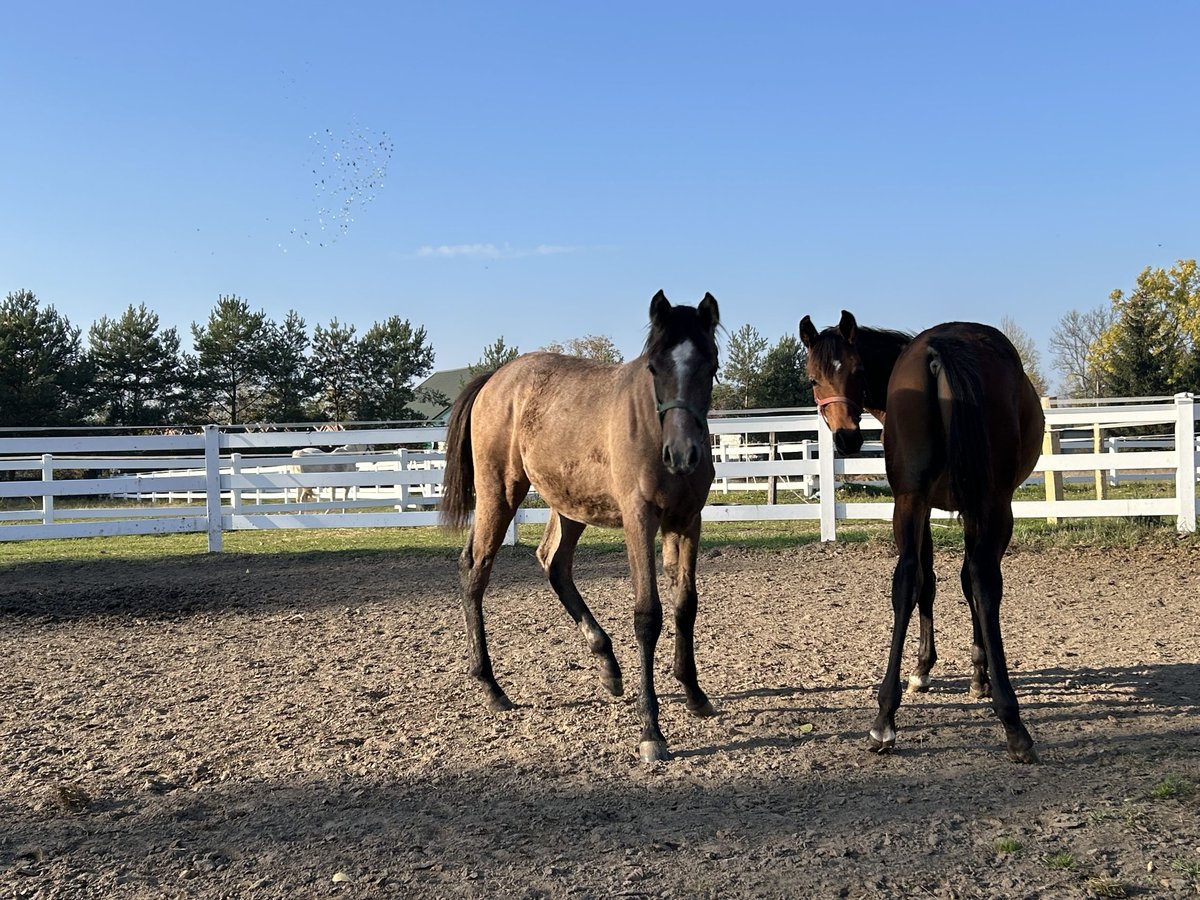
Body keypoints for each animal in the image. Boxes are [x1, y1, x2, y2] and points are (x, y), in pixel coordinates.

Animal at [441, 290, 720, 763]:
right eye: (653, 367)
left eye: (711, 363)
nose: (682, 454)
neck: (654, 427)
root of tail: (497, 378)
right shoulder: (639, 519)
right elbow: (648, 616)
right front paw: (651, 731)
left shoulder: (687, 521)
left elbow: (686, 605)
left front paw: (694, 693)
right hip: (500, 492)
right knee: (475, 569)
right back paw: (491, 686)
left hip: (569, 505)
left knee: (553, 563)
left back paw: (607, 664)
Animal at [801, 309, 1046, 763]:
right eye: (813, 379)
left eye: (857, 371)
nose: (846, 437)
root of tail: (940, 349)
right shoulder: (957, 506)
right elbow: (957, 582)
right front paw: (964, 671)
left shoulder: (925, 504)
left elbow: (925, 582)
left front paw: (927, 671)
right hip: (990, 503)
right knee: (982, 581)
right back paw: (1010, 719)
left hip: (915, 502)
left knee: (908, 581)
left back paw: (885, 719)